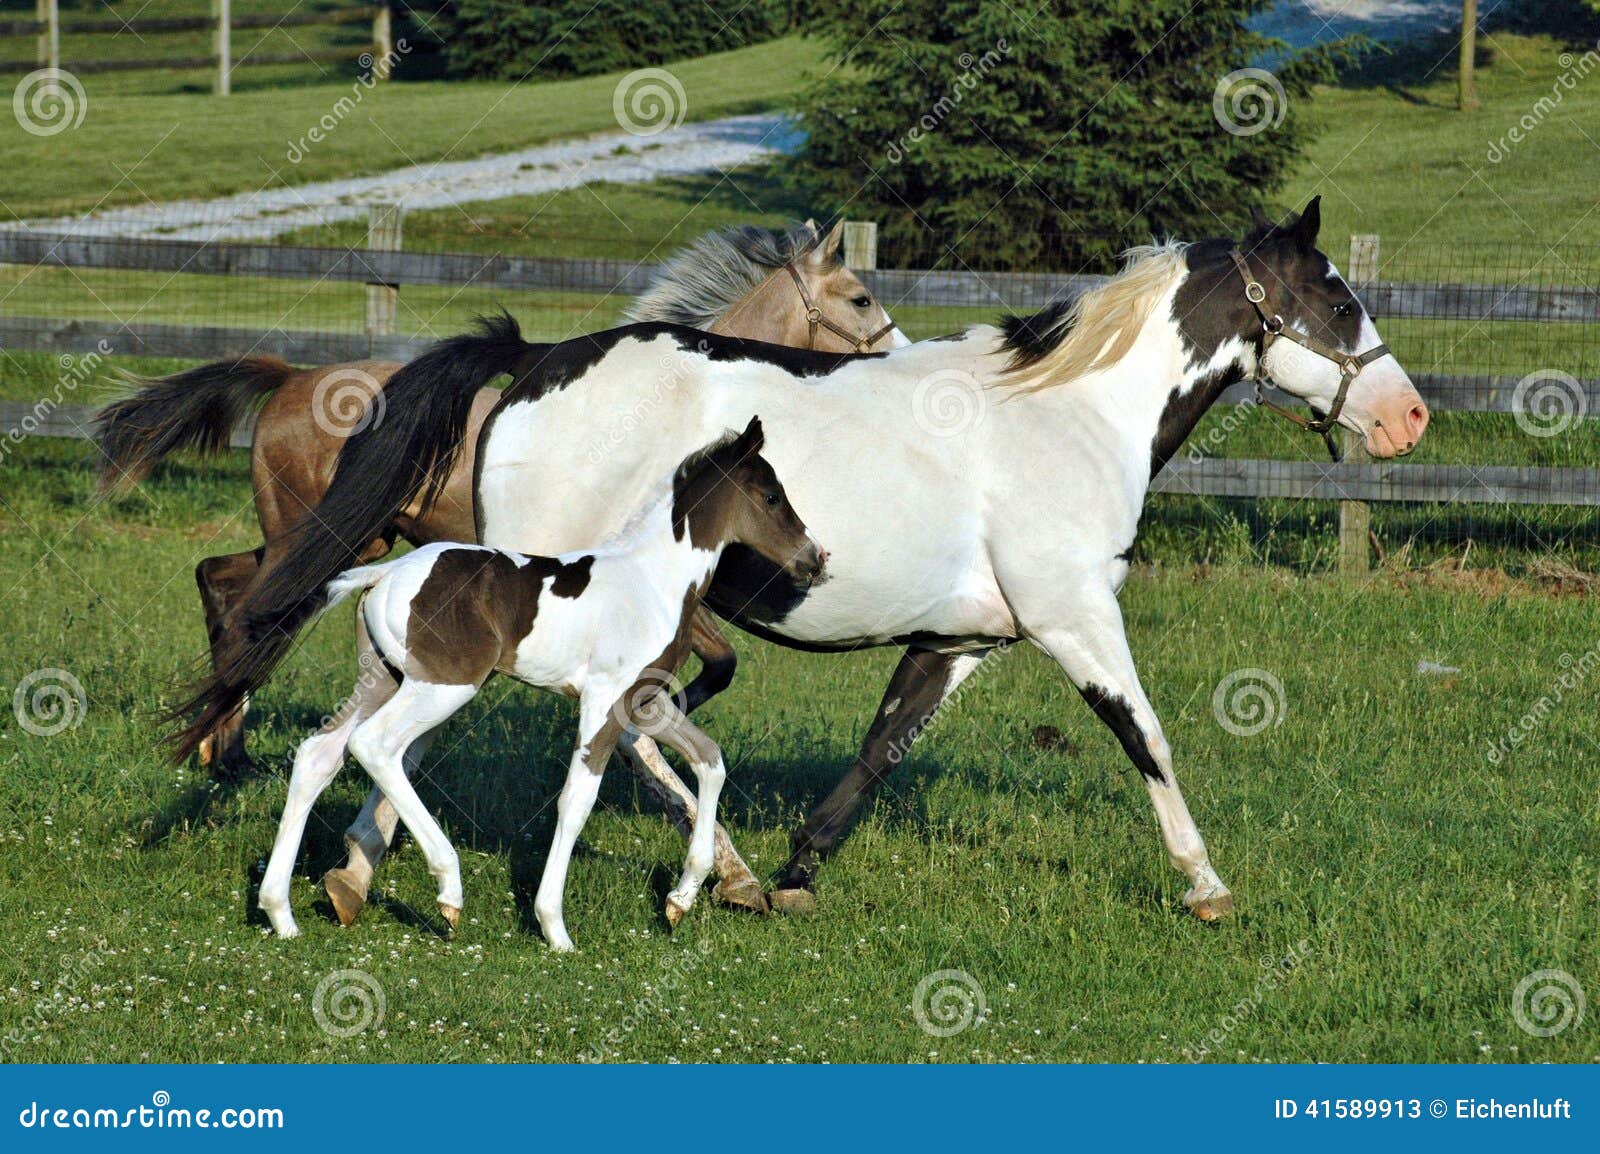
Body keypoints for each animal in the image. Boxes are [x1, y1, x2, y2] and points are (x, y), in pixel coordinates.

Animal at [260, 419, 825, 947]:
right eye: (772, 497)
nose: (816, 558)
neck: (651, 580)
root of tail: (385, 573)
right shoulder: (603, 699)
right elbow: (576, 801)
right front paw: (555, 927)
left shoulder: (643, 701)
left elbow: (709, 760)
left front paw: (680, 900)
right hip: (444, 686)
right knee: (373, 745)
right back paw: (449, 890)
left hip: (384, 677)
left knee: (318, 754)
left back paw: (280, 913)